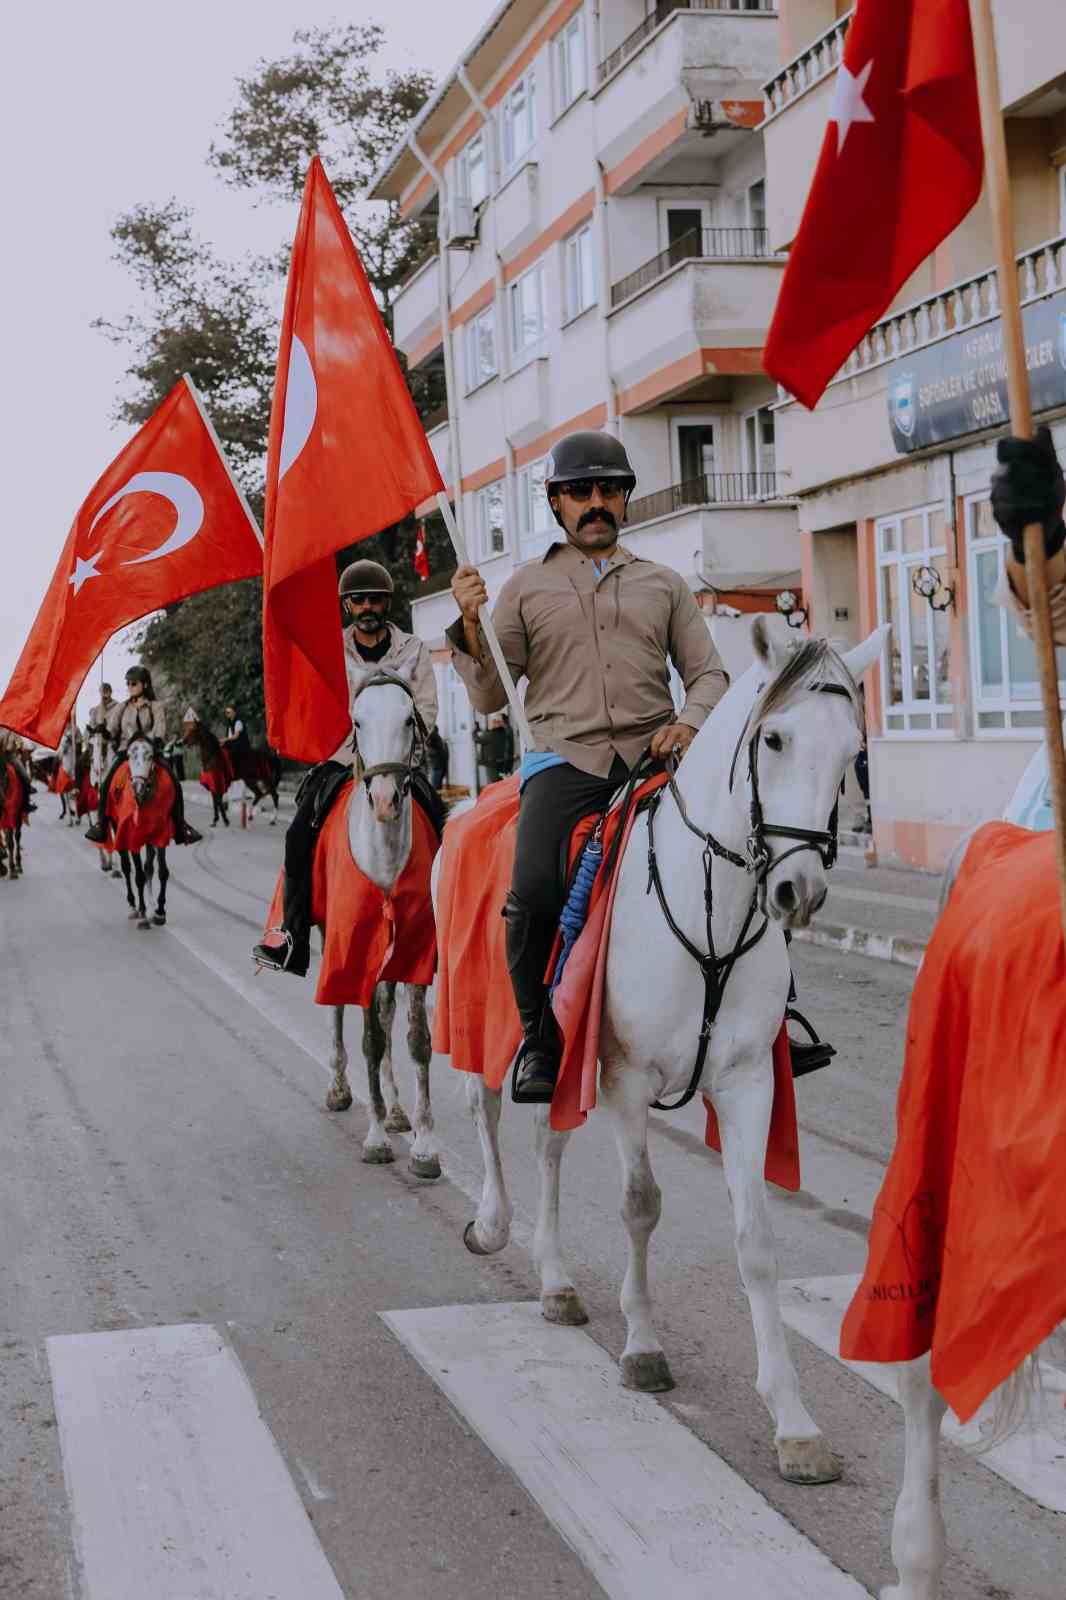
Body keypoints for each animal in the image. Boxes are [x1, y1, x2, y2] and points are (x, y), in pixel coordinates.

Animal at [460, 620, 883, 1484]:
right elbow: (640, 1205)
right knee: (484, 1109)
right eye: (774, 739)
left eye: (852, 749)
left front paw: (793, 1421)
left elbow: (756, 1241)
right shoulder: (624, 1079)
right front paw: (644, 1347)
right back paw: (491, 1224)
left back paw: (555, 1280)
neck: (707, 899)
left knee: (548, 1142)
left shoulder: (748, 1082)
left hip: (563, 1060)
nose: (799, 895)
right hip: (490, 1021)